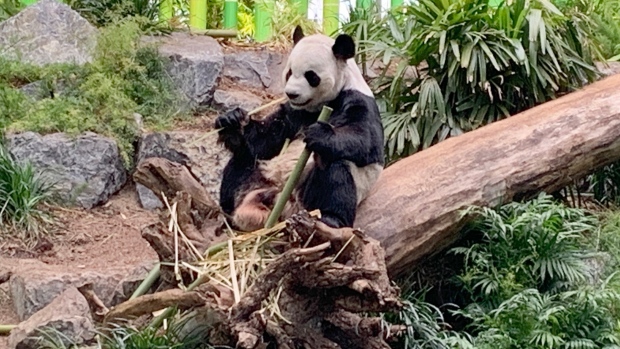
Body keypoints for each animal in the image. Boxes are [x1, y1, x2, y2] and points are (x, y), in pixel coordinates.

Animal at [216, 25, 386, 231]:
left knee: (335, 170)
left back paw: (332, 219)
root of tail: (280, 199)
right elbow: (264, 140)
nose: (291, 94)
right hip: (259, 175)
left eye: (311, 76)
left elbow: (367, 141)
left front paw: (318, 134)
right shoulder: (294, 114)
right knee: (240, 164)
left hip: (310, 193)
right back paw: (228, 213)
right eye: (289, 72)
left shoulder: (358, 100)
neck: (319, 107)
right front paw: (231, 121)